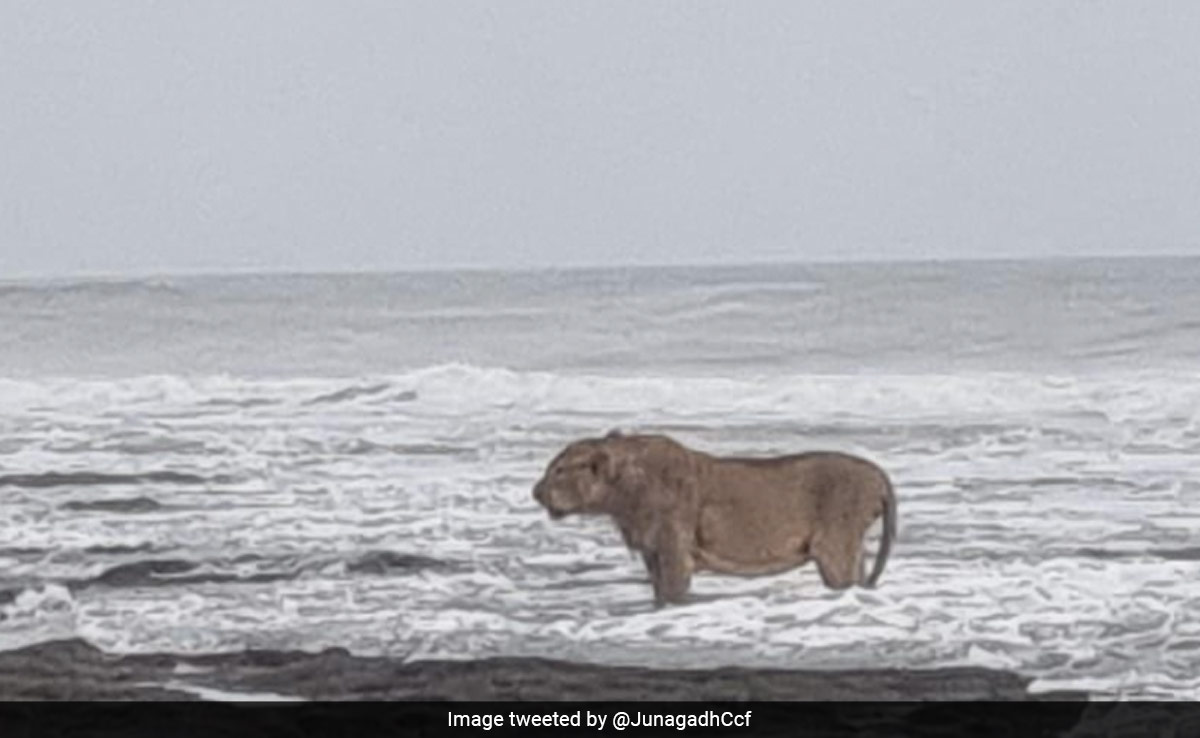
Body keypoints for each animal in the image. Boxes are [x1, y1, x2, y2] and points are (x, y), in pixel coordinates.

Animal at [532, 431, 896, 607]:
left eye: (559, 470)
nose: (535, 492)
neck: (622, 496)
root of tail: (879, 474)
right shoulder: (652, 552)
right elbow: (658, 593)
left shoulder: (673, 548)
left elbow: (673, 592)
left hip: (835, 547)